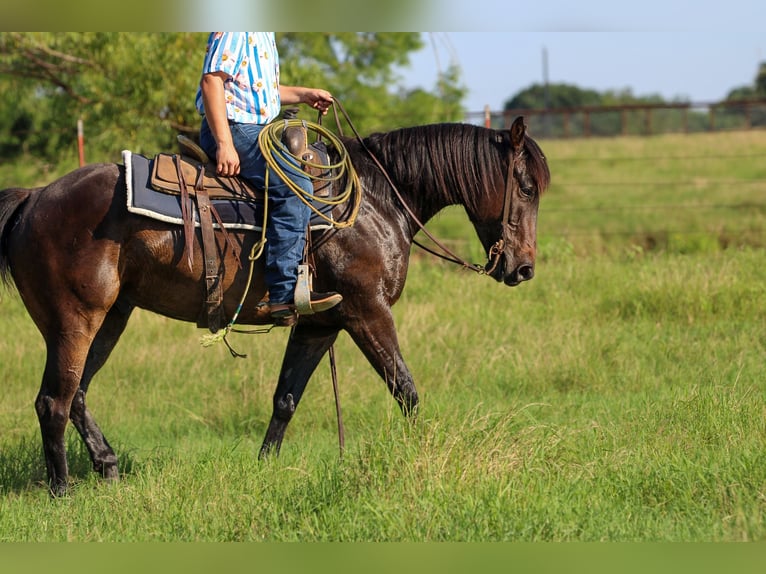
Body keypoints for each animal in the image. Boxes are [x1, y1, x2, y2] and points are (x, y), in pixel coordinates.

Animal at [0, 117, 552, 496]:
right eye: (525, 187)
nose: (524, 268)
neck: (373, 203)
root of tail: (34, 198)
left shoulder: (320, 324)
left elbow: (285, 399)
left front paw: (264, 469)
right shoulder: (368, 312)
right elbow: (406, 390)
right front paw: (428, 456)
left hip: (112, 316)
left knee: (77, 395)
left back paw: (108, 467)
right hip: (73, 321)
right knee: (53, 401)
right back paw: (62, 491)